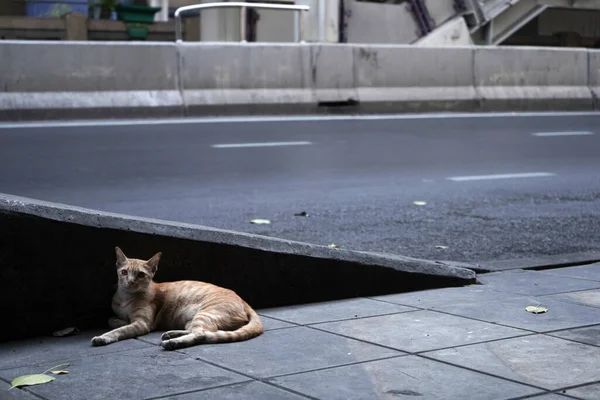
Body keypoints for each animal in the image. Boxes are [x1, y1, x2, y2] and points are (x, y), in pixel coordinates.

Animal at [91, 247, 262, 350]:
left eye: (140, 275)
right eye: (124, 272)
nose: (131, 281)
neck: (125, 298)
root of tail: (243, 300)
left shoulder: (141, 323)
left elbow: (119, 330)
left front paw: (104, 337)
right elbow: (112, 320)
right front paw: (120, 321)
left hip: (205, 314)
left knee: (201, 334)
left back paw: (172, 342)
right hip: (192, 319)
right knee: (199, 331)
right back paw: (171, 334)